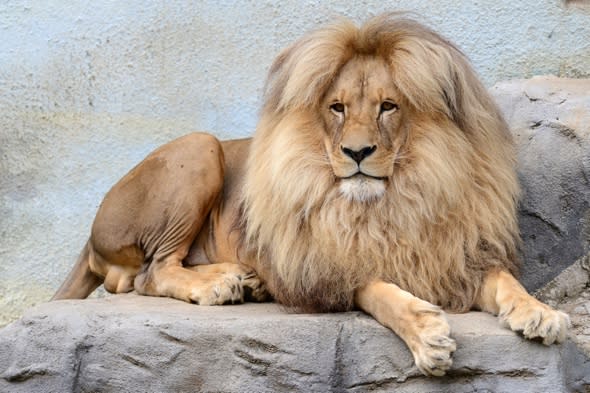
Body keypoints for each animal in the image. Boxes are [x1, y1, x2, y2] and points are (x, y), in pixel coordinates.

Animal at [53, 13, 572, 376]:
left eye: (388, 106)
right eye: (337, 108)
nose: (357, 152)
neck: (395, 201)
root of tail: (90, 236)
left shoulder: (456, 258)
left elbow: (506, 281)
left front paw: (542, 313)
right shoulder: (328, 266)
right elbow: (380, 290)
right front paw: (426, 333)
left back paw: (247, 281)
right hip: (199, 147)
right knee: (150, 274)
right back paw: (221, 284)